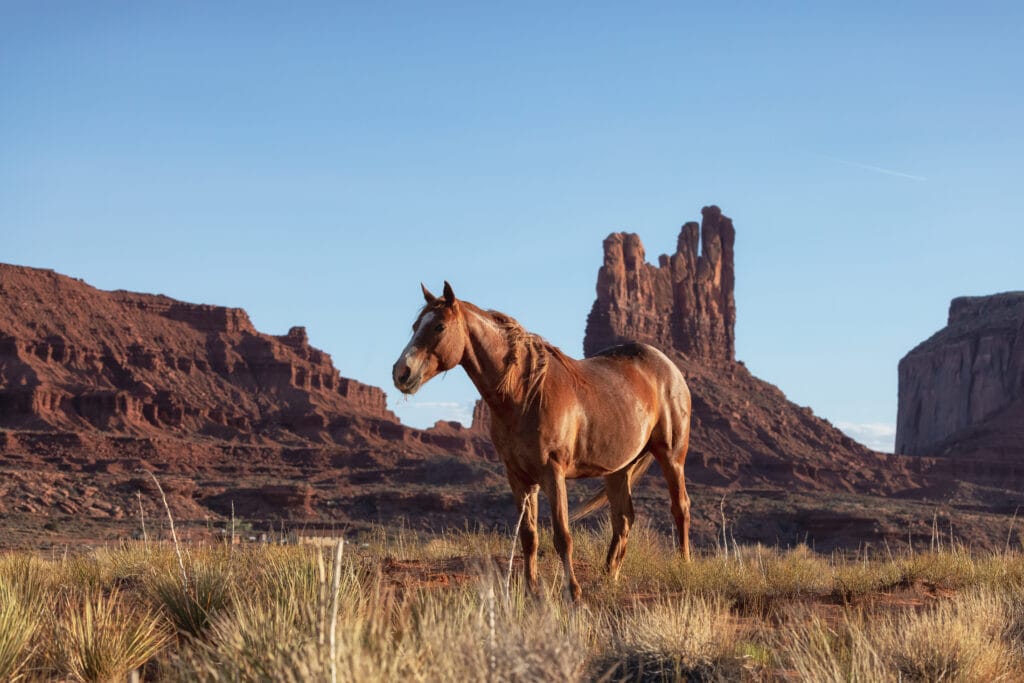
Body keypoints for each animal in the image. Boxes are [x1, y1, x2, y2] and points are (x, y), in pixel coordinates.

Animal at [392, 282, 692, 601]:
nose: (401, 373)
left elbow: (562, 536)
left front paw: (573, 592)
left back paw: (683, 567)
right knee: (623, 519)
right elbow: (528, 536)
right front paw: (531, 590)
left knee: (680, 508)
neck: (523, 393)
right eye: (415, 326)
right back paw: (608, 578)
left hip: (672, 456)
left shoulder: (553, 473)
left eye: (439, 326)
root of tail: (669, 368)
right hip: (618, 468)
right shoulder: (519, 477)